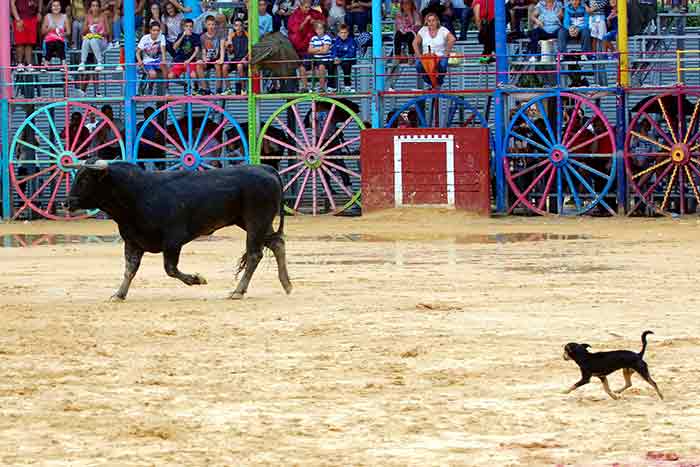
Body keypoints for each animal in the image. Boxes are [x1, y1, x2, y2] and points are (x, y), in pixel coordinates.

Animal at [66, 160, 292, 300]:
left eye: (84, 180)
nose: (66, 203)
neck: (138, 193)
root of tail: (266, 169)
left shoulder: (173, 241)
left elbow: (170, 269)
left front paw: (197, 279)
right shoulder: (133, 241)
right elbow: (130, 269)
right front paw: (118, 295)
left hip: (256, 220)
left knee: (255, 254)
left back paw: (238, 291)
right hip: (252, 222)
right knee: (276, 243)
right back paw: (286, 284)